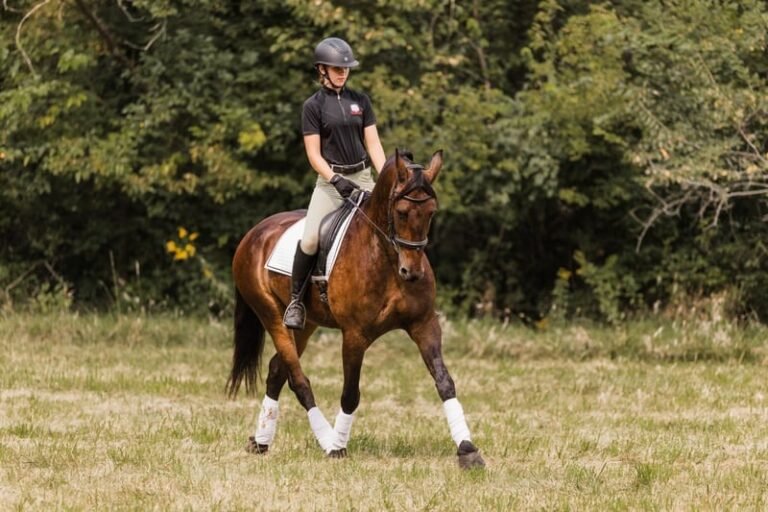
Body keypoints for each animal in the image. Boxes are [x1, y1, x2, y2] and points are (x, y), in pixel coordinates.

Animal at [227, 149, 485, 469]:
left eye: (431, 213)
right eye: (401, 212)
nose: (411, 273)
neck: (387, 258)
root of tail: (255, 233)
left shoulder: (424, 324)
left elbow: (444, 382)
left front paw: (467, 449)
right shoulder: (354, 334)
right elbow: (350, 393)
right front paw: (338, 447)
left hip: (305, 324)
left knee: (277, 369)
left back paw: (261, 441)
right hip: (270, 314)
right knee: (298, 379)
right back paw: (325, 439)